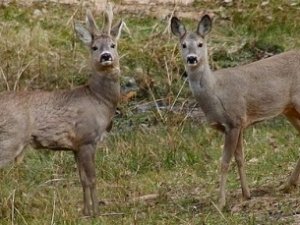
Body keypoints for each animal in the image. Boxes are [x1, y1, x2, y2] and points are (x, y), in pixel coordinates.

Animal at [0, 5, 123, 216]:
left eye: (113, 45)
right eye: (94, 47)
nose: (106, 56)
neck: (98, 99)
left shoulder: (76, 146)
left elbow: (82, 179)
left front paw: (85, 211)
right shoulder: (87, 138)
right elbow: (92, 178)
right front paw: (96, 213)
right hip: (10, 137)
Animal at [171, 14, 300, 209]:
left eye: (200, 44)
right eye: (183, 44)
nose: (192, 58)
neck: (215, 91)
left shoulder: (233, 121)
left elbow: (224, 162)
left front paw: (221, 202)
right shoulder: (238, 124)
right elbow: (240, 158)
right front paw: (246, 194)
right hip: (289, 110)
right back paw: (287, 185)